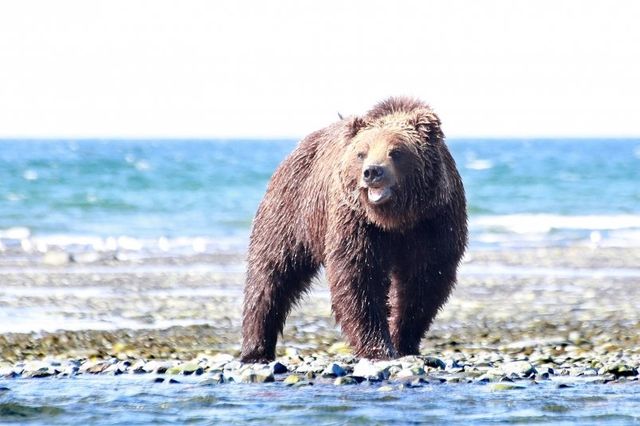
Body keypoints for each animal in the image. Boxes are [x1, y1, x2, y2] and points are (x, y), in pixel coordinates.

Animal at [241, 97, 467, 362]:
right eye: (362, 153)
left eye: (396, 152)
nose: (372, 172)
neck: (396, 218)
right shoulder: (357, 222)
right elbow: (359, 276)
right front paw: (378, 347)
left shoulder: (433, 221)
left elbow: (425, 278)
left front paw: (403, 341)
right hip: (290, 210)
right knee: (271, 273)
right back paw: (256, 348)